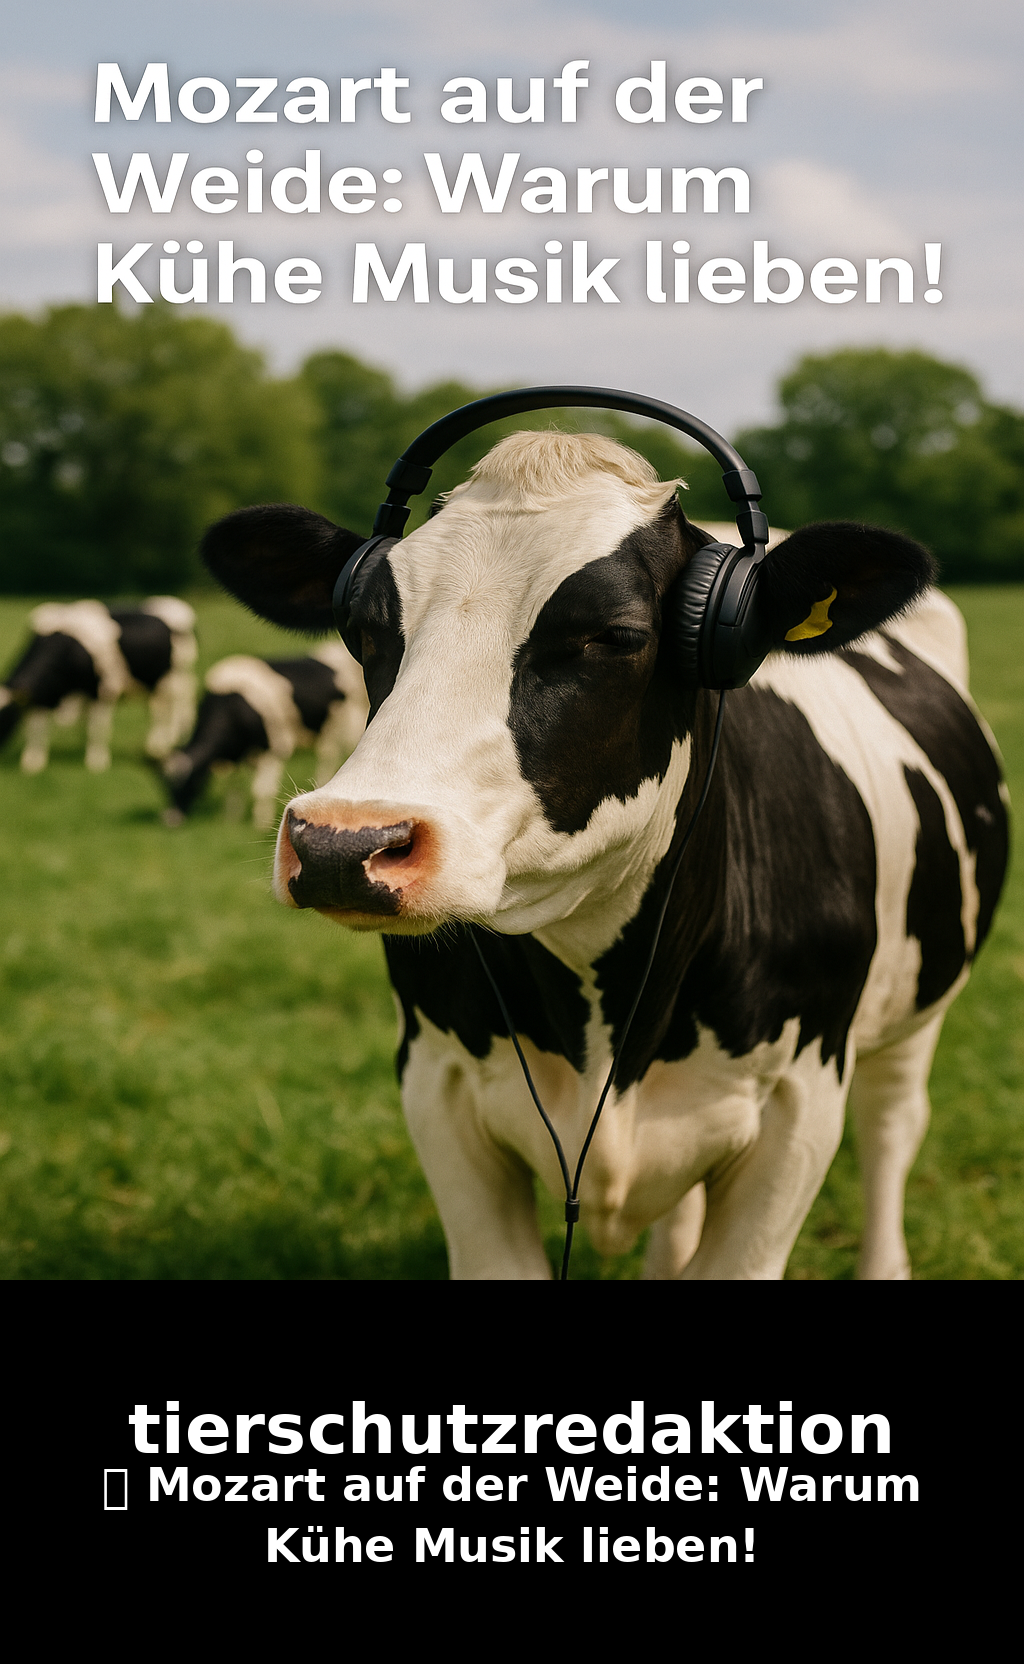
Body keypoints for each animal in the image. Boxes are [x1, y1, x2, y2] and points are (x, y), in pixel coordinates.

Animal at [0, 597, 197, 773]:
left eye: (4, 716)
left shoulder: (102, 691)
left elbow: (97, 727)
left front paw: (96, 761)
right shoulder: (45, 695)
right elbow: (37, 728)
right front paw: (33, 762)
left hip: (175, 677)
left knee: (174, 708)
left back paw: (166, 740)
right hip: (155, 683)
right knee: (157, 709)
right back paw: (156, 744)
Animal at [161, 643, 368, 828]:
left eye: (192, 785)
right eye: (167, 788)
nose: (171, 819)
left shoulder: (273, 750)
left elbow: (261, 790)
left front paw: (260, 822)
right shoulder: (235, 754)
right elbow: (234, 787)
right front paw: (231, 817)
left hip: (333, 730)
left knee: (327, 759)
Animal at [201, 431, 1009, 1280]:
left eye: (613, 637)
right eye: (363, 630)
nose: (339, 842)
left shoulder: (802, 1099)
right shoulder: (435, 1083)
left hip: (918, 1009)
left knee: (892, 1126)